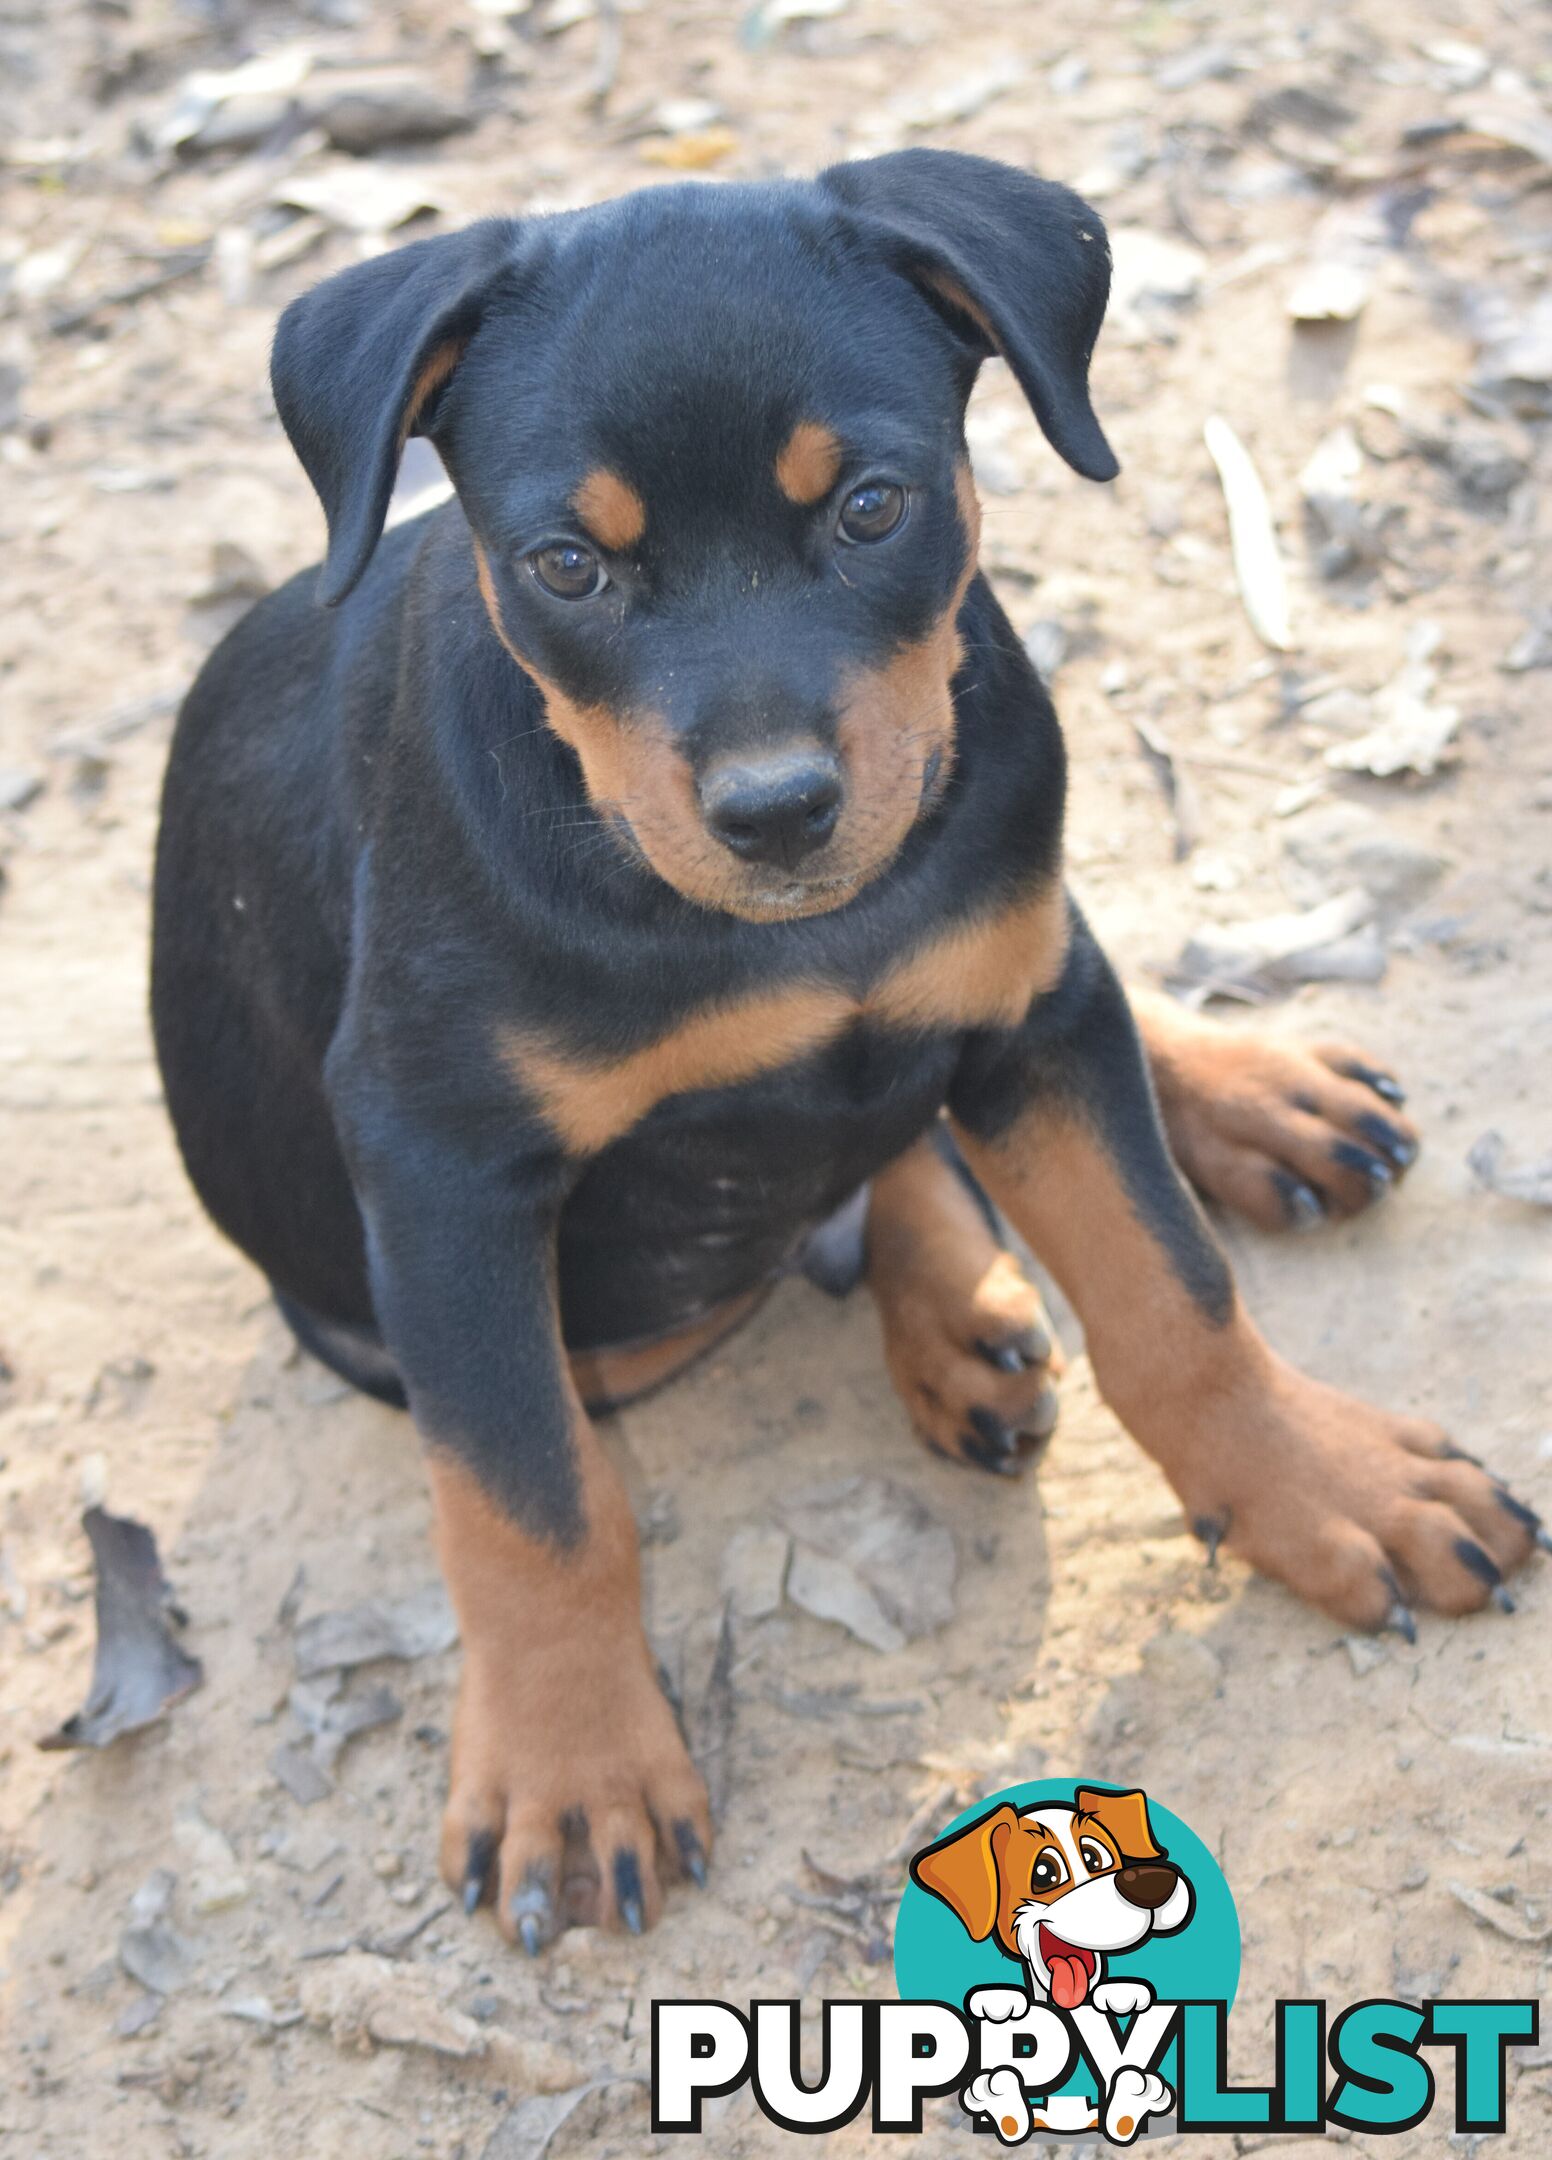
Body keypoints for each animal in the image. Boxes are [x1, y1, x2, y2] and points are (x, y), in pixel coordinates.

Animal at [148, 147, 1545, 1944]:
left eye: (872, 506)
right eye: (566, 565)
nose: (774, 812)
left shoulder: (1028, 1010)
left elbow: (1175, 1299)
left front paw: (1328, 1487)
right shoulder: (443, 1167)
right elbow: (532, 1502)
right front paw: (571, 1770)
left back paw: (1220, 1118)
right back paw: (964, 1299)